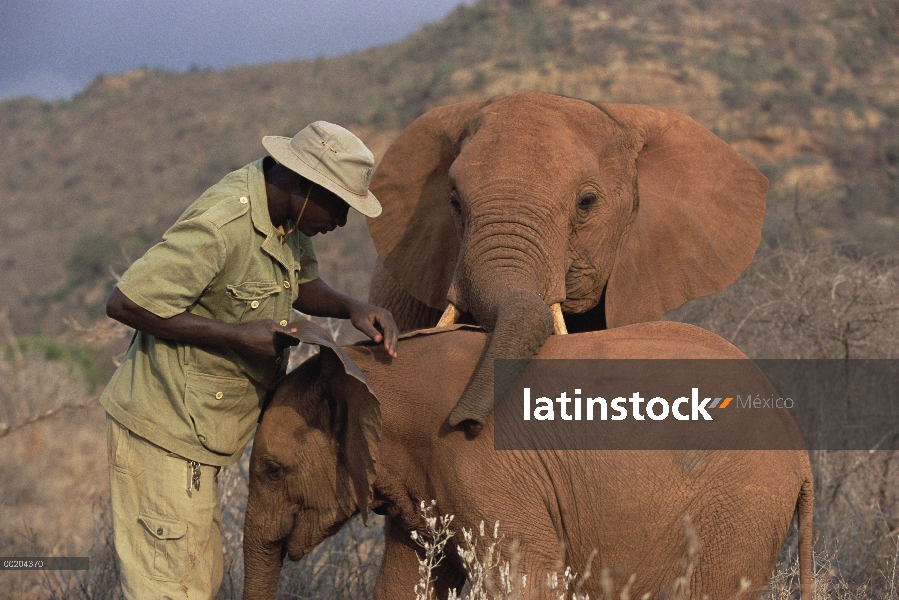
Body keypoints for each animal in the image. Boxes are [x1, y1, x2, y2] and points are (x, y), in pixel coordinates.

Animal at [243, 322, 812, 600]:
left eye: (272, 469)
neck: (370, 366)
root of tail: (802, 450)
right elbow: (409, 580)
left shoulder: (479, 466)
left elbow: (524, 580)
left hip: (739, 509)